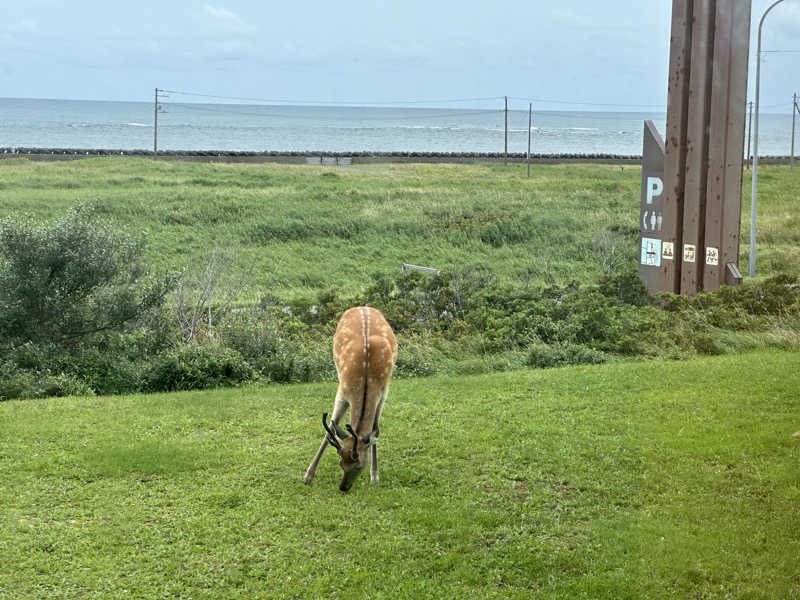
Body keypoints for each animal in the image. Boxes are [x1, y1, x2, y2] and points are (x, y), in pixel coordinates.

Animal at [304, 308, 396, 490]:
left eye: (359, 465)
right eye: (340, 463)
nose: (343, 487)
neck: (366, 381)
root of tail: (363, 306)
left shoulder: (383, 393)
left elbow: (375, 430)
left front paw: (375, 477)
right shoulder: (342, 391)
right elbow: (331, 430)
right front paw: (308, 476)